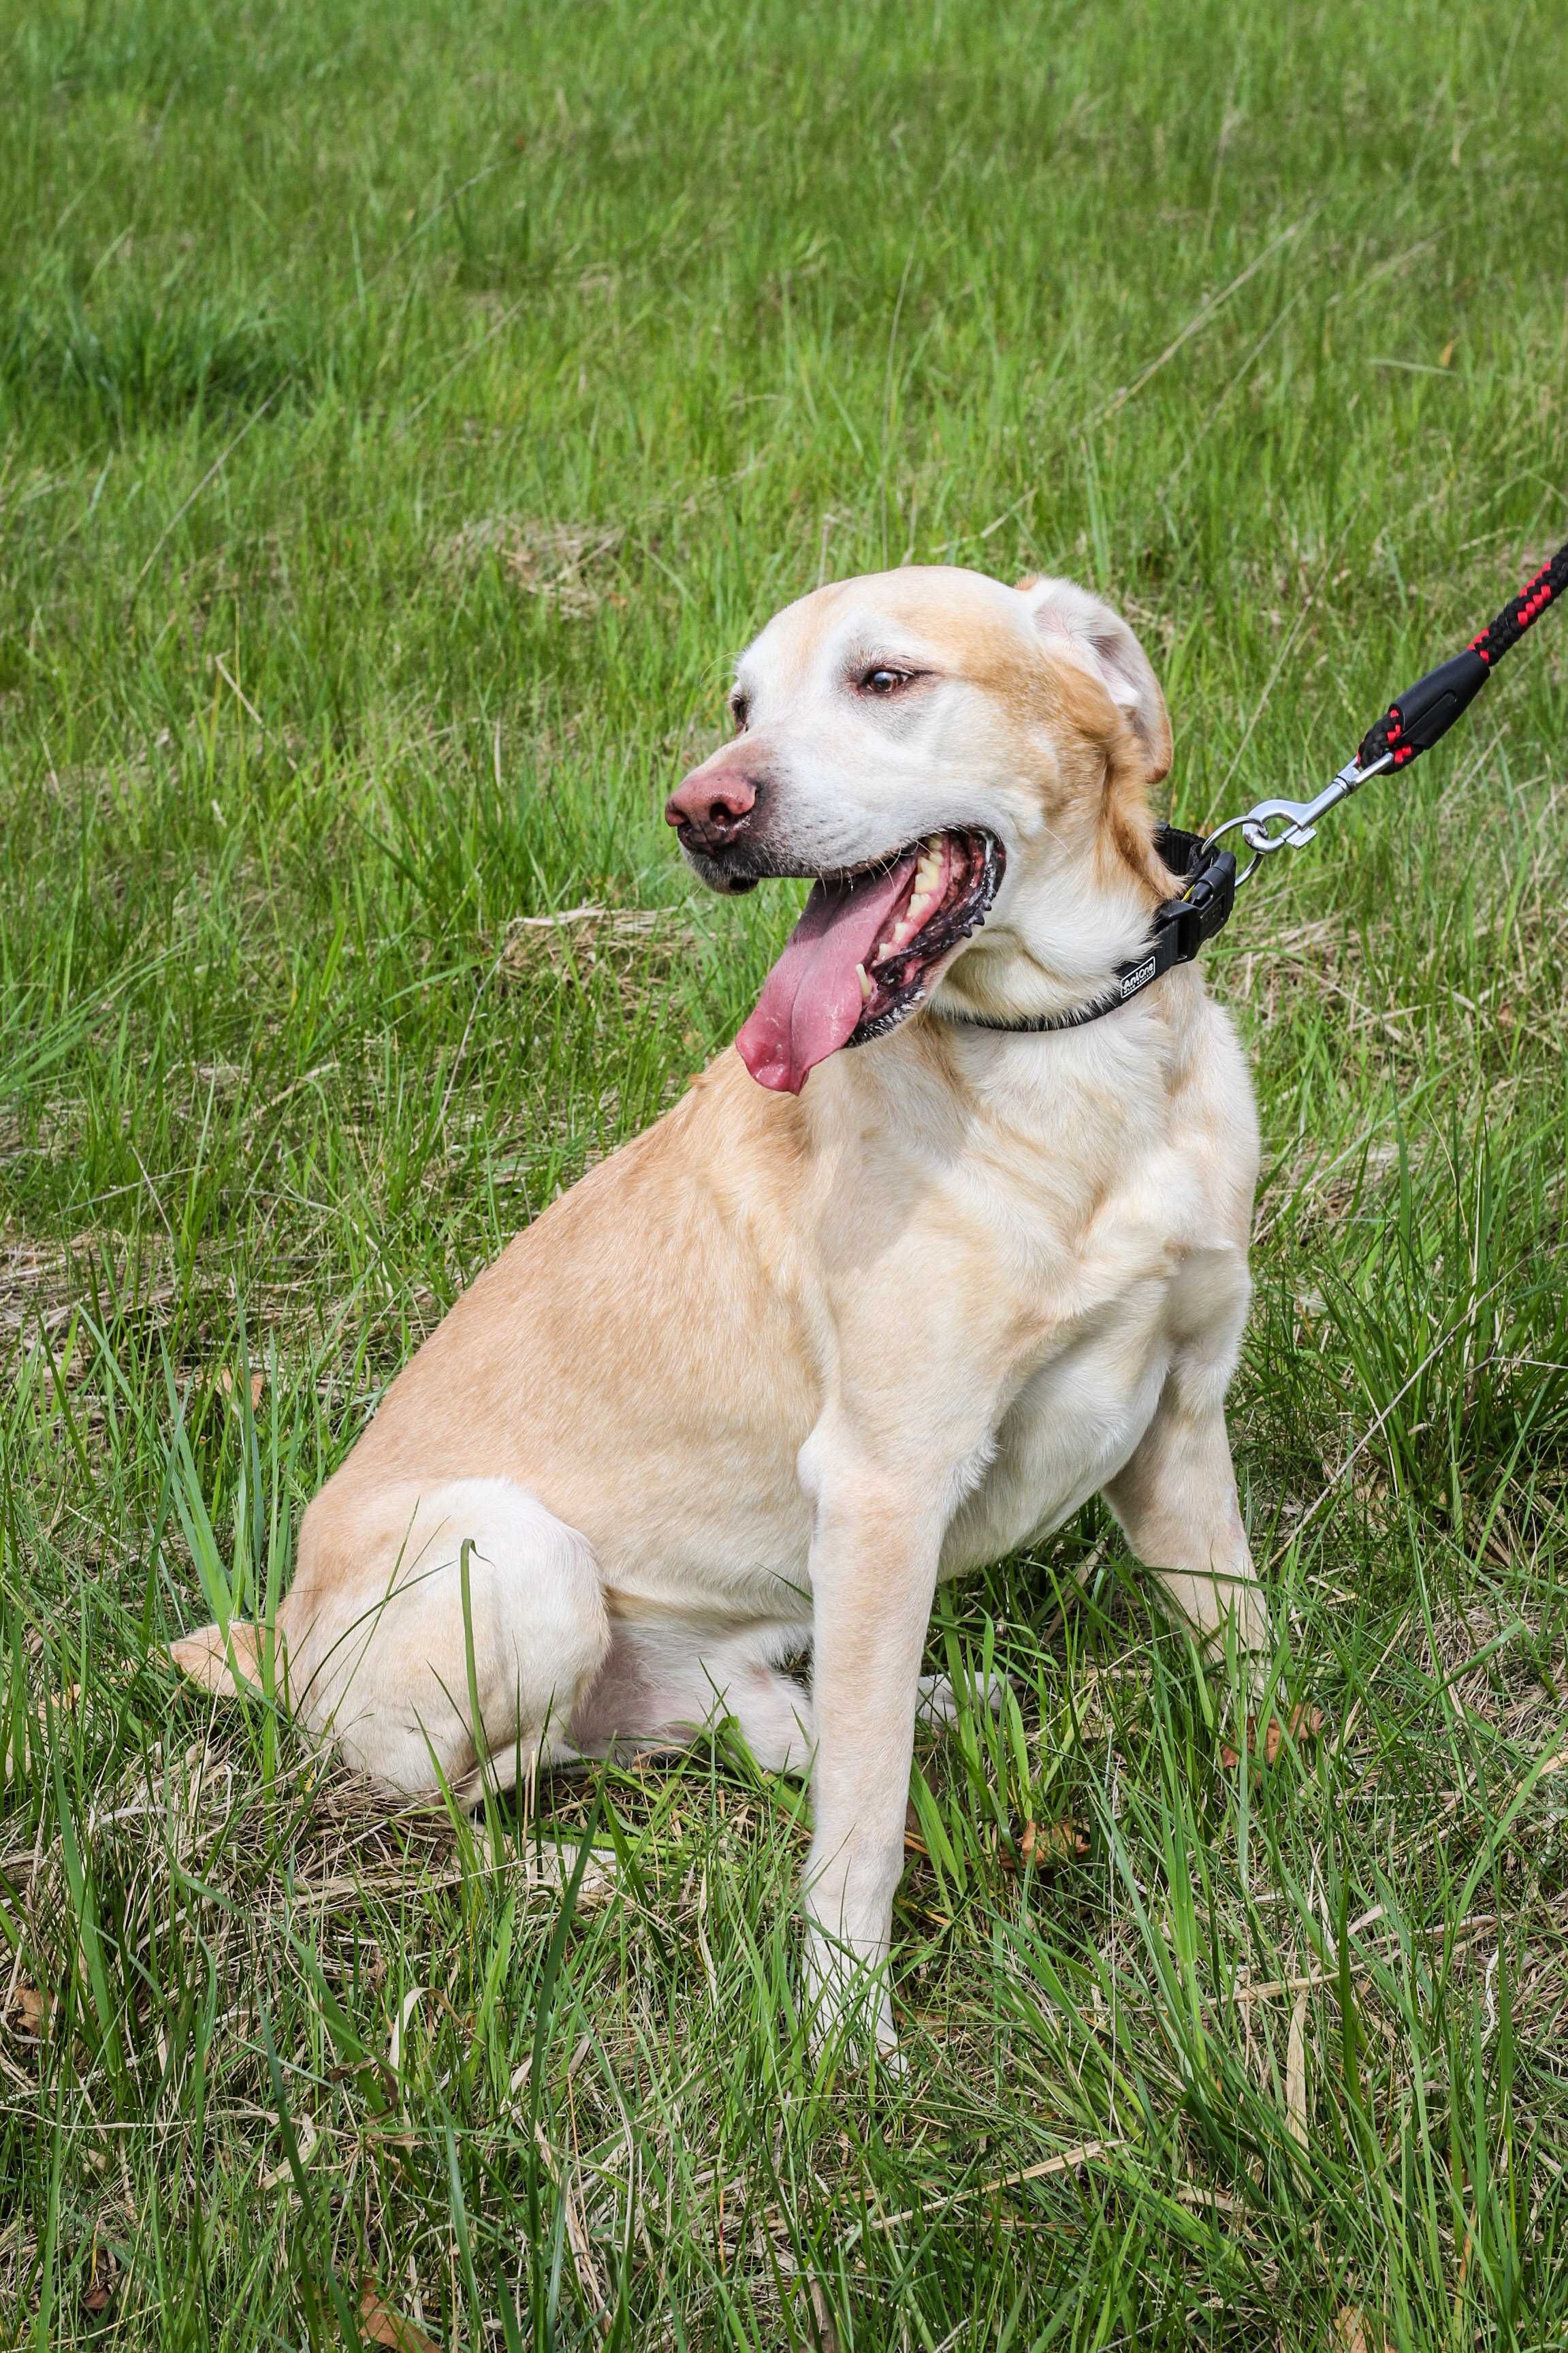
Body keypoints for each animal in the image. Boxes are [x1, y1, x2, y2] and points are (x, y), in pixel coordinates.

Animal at [177, 565, 1269, 2042]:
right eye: (741, 703)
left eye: (883, 678)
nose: (701, 809)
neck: (1068, 1054)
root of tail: (276, 1639)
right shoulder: (882, 1488)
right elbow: (858, 1829)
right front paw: (844, 2030)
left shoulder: (1178, 1421)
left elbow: (1247, 1642)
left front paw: (1292, 1789)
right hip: (517, 1555)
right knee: (450, 1810)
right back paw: (575, 1875)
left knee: (759, 1725)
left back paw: (930, 1699)